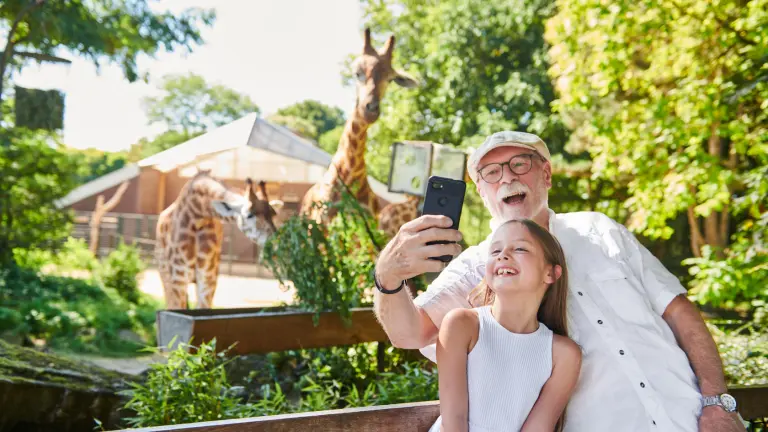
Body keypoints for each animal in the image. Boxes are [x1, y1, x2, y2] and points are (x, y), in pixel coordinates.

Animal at [156, 170, 284, 308]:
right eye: (249, 215)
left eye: (273, 214)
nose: (276, 247)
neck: (198, 215)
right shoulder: (178, 278)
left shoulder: (208, 278)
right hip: (165, 275)